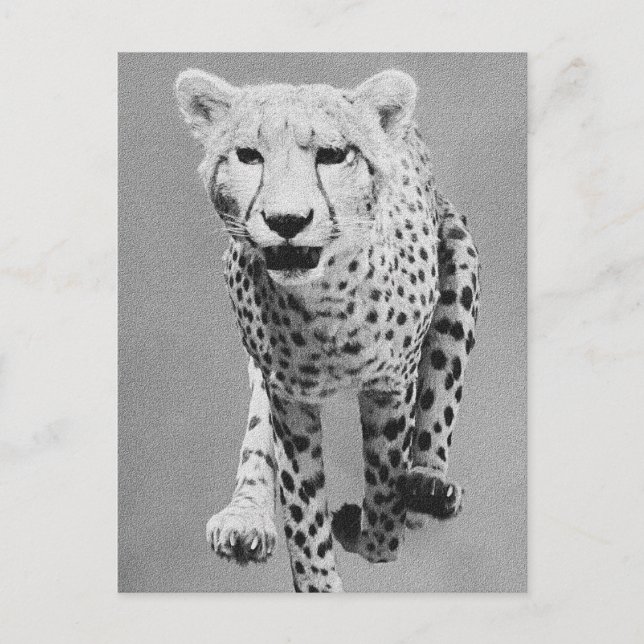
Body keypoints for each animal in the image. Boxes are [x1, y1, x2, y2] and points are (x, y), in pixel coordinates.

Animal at [175, 68, 480, 592]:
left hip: (459, 261)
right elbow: (302, 506)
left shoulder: (390, 385)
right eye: (248, 155)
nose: (287, 221)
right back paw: (245, 518)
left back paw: (428, 483)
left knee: (442, 387)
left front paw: (373, 536)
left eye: (333, 155)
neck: (324, 305)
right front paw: (318, 581)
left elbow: (384, 483)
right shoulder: (286, 397)